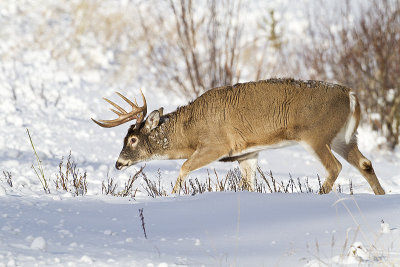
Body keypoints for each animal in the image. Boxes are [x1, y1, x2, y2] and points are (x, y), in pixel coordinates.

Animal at [92, 78, 386, 196]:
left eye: (132, 140)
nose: (118, 163)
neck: (189, 131)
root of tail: (351, 95)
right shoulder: (248, 152)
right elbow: (249, 184)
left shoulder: (216, 144)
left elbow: (184, 167)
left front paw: (171, 195)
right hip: (343, 137)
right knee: (365, 163)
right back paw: (382, 196)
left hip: (316, 133)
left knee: (334, 167)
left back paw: (317, 194)